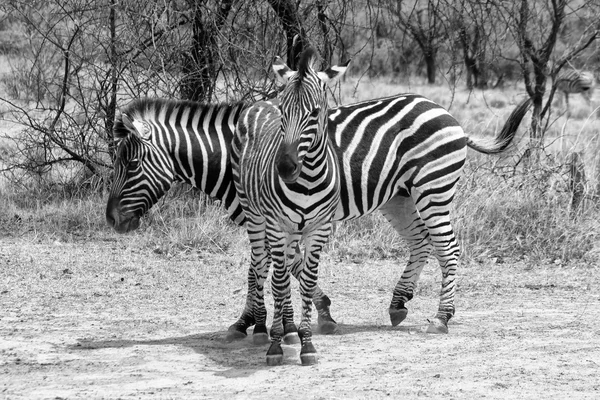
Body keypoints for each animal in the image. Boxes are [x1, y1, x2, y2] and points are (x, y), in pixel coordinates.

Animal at [106, 85, 528, 344]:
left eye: (131, 163)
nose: (111, 220)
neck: (236, 155)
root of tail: (446, 112)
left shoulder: (267, 218)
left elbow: (267, 269)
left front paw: (269, 321)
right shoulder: (270, 219)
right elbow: (269, 268)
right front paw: (265, 320)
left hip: (432, 187)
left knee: (448, 248)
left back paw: (441, 318)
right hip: (400, 197)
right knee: (422, 244)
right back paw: (398, 303)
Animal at [232, 47, 350, 366]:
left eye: (315, 113)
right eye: (285, 113)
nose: (285, 168)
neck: (307, 180)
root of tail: (264, 101)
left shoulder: (319, 229)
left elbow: (306, 282)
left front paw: (306, 341)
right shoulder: (275, 225)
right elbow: (280, 282)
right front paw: (274, 345)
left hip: (293, 230)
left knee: (280, 266)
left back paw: (289, 330)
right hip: (255, 216)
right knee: (261, 266)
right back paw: (263, 328)